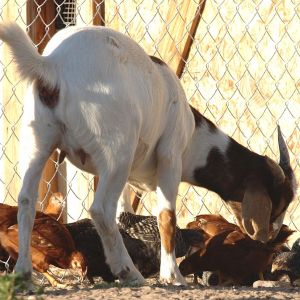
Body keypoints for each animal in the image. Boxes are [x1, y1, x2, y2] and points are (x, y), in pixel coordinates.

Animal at [0, 22, 296, 286]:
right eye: (280, 202)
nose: (271, 237)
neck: (193, 134)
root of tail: (54, 66)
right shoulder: (170, 155)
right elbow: (166, 217)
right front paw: (172, 275)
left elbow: (124, 214)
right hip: (118, 150)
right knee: (100, 209)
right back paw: (129, 272)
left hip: (38, 140)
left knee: (27, 200)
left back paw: (24, 272)